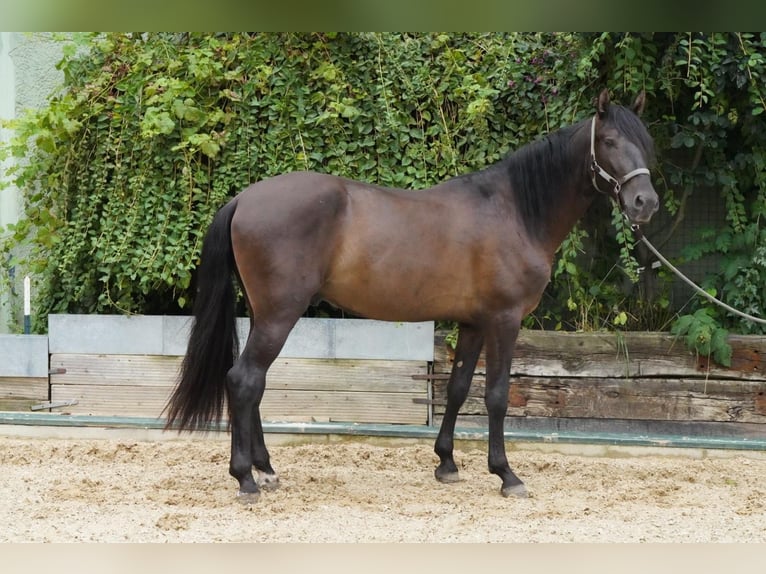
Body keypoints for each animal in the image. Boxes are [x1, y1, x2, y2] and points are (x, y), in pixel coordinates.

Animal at [166, 88, 660, 502]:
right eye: (610, 141)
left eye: (645, 141)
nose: (645, 203)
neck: (516, 211)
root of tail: (243, 200)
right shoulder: (505, 320)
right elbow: (497, 395)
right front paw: (506, 474)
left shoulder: (474, 322)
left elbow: (457, 389)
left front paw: (447, 463)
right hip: (278, 315)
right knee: (244, 380)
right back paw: (246, 479)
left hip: (263, 313)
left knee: (254, 384)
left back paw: (266, 470)